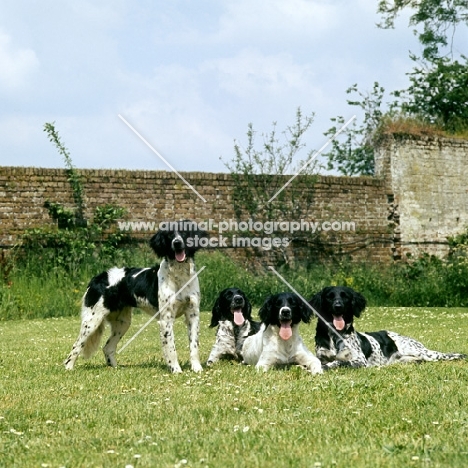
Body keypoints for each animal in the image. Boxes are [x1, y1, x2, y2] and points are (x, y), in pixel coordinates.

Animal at [65, 222, 207, 372]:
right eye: (169, 235)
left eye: (184, 232)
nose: (177, 243)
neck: (179, 276)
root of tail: (97, 278)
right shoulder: (166, 319)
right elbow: (171, 348)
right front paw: (176, 370)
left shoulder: (193, 315)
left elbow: (194, 346)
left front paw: (197, 369)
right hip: (92, 320)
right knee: (76, 346)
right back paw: (68, 368)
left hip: (122, 323)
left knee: (107, 347)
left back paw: (116, 368)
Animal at [308, 286, 466, 370]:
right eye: (329, 296)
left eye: (345, 296)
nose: (338, 306)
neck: (334, 335)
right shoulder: (321, 356)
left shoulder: (359, 360)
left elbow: (340, 362)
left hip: (423, 352)